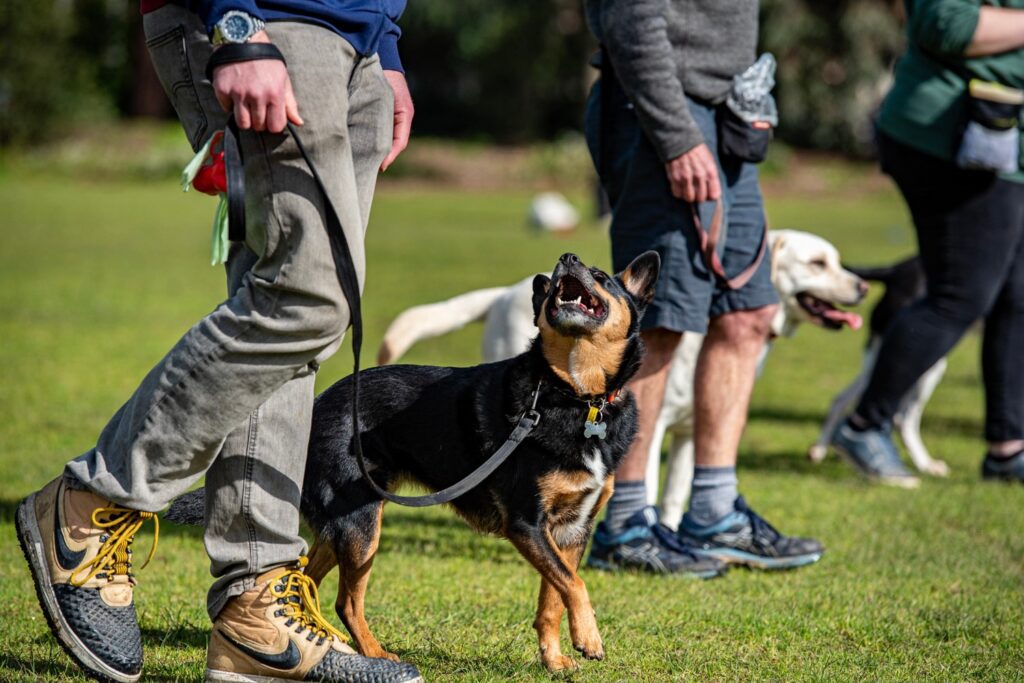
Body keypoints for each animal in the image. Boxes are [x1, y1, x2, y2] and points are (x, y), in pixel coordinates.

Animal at [172, 252, 659, 671]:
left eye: (602, 276)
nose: (566, 258)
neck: (577, 396)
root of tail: (315, 409)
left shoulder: (572, 528)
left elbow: (553, 597)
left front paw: (555, 659)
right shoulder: (526, 523)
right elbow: (573, 583)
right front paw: (590, 639)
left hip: (342, 526)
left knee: (308, 579)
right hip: (362, 526)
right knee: (346, 600)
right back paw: (374, 654)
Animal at [376, 229, 864, 528]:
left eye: (835, 260)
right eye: (818, 263)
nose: (862, 286)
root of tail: (502, 293)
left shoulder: (692, 429)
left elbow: (675, 494)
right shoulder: (655, 424)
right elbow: (642, 485)